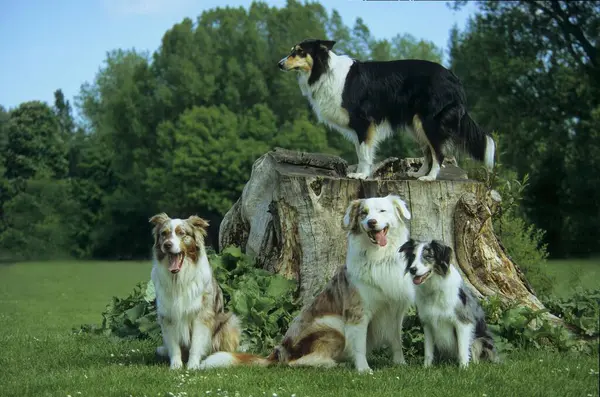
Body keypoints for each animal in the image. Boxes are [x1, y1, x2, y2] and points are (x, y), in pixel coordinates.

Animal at [149, 212, 240, 370]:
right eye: (164, 234)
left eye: (181, 233)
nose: (167, 245)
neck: (178, 279)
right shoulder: (168, 316)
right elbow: (174, 346)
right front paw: (175, 366)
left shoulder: (201, 315)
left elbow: (196, 344)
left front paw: (192, 366)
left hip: (230, 322)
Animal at [199, 195, 414, 372]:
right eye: (364, 213)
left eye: (382, 211)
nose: (371, 222)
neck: (380, 257)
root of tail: (277, 352)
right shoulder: (357, 311)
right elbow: (359, 345)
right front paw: (363, 369)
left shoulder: (395, 309)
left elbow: (397, 340)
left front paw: (401, 364)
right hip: (334, 325)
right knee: (297, 362)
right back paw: (333, 364)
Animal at [278, 38, 494, 181]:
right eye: (292, 50)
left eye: (299, 51)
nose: (279, 64)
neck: (324, 72)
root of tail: (454, 78)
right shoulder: (360, 127)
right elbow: (360, 151)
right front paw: (360, 173)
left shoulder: (364, 122)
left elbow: (364, 152)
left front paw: (361, 175)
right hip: (415, 123)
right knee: (427, 151)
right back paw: (417, 173)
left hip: (429, 122)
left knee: (438, 152)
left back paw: (429, 178)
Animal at [398, 237, 496, 366]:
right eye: (413, 256)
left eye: (428, 256)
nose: (412, 269)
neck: (434, 288)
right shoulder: (428, 323)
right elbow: (428, 351)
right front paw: (426, 367)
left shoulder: (463, 322)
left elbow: (462, 350)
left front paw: (464, 368)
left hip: (481, 339)